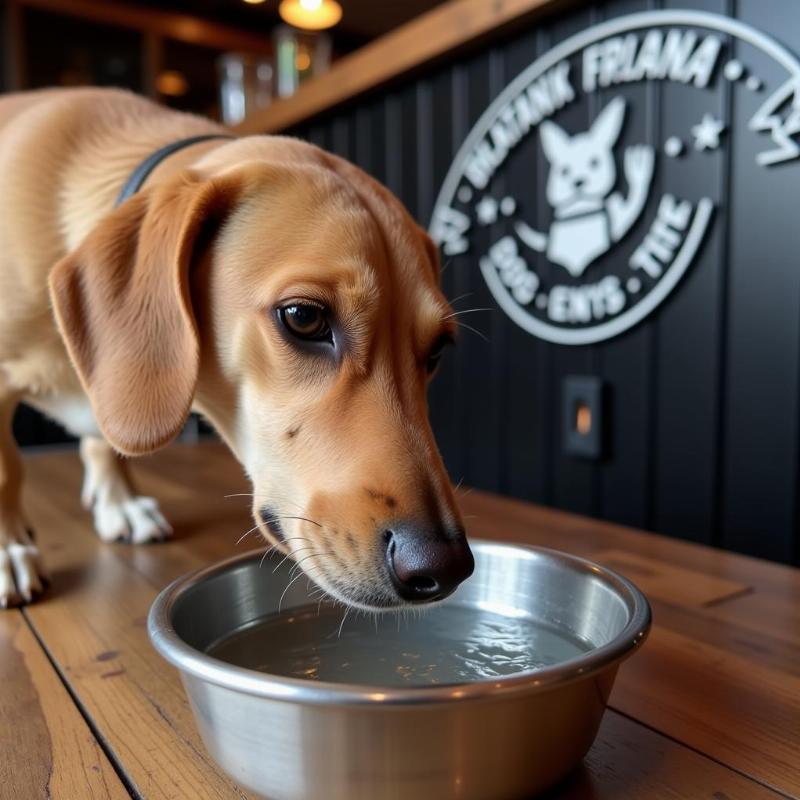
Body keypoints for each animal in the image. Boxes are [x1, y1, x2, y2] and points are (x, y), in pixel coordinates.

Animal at [0, 87, 472, 608]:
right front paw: (7, 552)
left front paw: (117, 501)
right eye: (304, 317)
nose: (445, 566)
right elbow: (7, 469)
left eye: (437, 349)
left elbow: (104, 441)